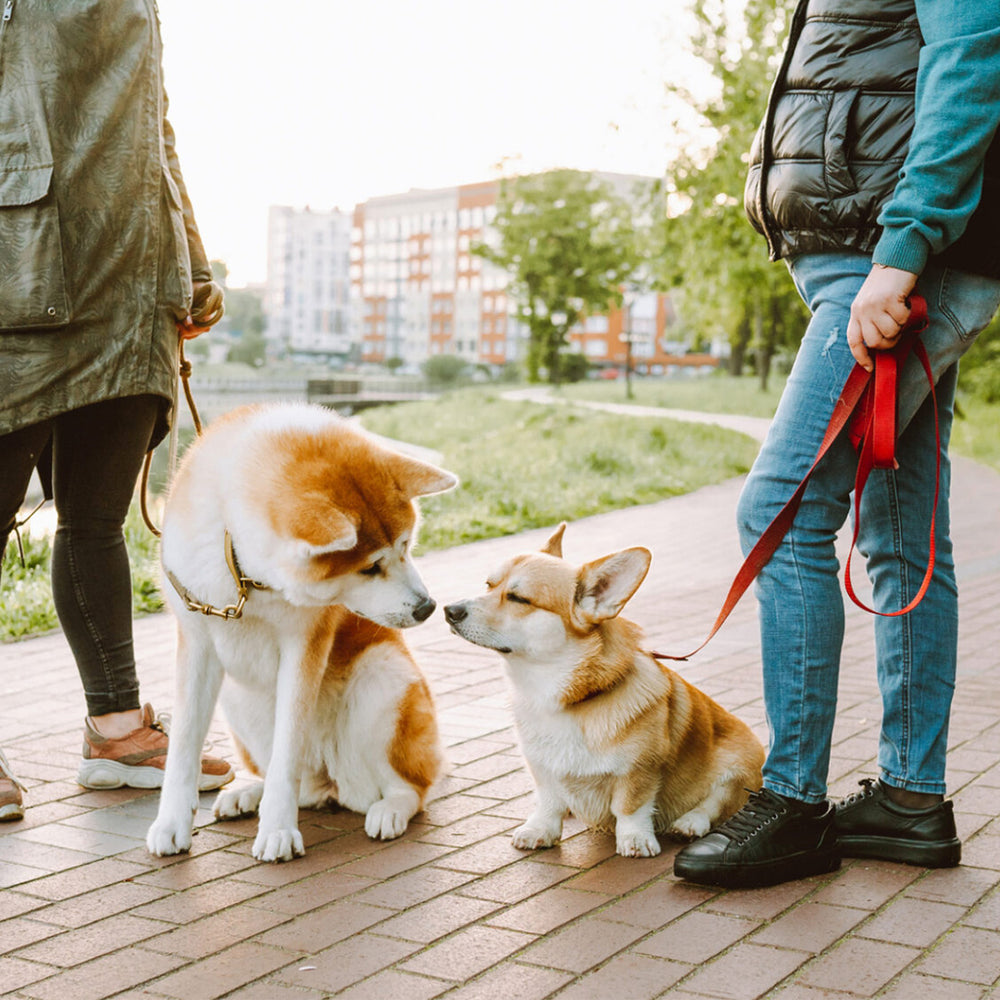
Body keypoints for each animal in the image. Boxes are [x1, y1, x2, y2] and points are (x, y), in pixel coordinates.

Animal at [146, 402, 458, 864]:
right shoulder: (197, 642)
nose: (427, 607)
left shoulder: (304, 645)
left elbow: (286, 754)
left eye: (406, 545)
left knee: (411, 788)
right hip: (238, 699)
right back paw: (247, 794)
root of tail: (333, 782)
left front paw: (277, 829)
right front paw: (170, 823)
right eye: (370, 567)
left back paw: (389, 810)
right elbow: (183, 746)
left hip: (383, 678)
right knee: (301, 787)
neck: (244, 576)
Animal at [442, 524, 760, 860]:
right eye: (488, 585)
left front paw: (635, 839)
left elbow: (630, 807)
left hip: (738, 767)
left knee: (716, 804)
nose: (450, 610)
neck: (560, 695)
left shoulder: (640, 769)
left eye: (518, 598)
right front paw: (540, 829)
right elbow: (548, 801)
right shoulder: (541, 766)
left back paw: (689, 823)